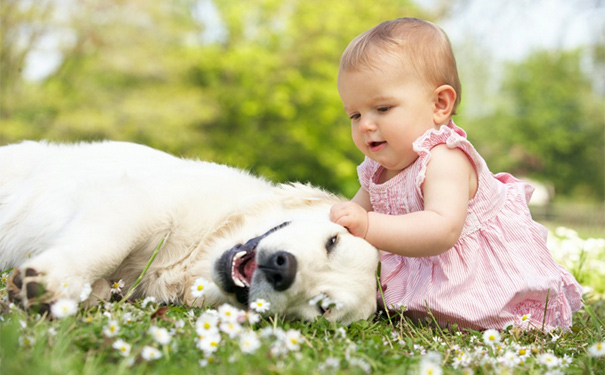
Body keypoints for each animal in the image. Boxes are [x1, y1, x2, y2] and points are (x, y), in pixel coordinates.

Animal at [0, 141, 378, 324]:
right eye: (333, 242)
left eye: (323, 307)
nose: (282, 269)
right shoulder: (139, 203)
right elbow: (105, 247)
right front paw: (52, 281)